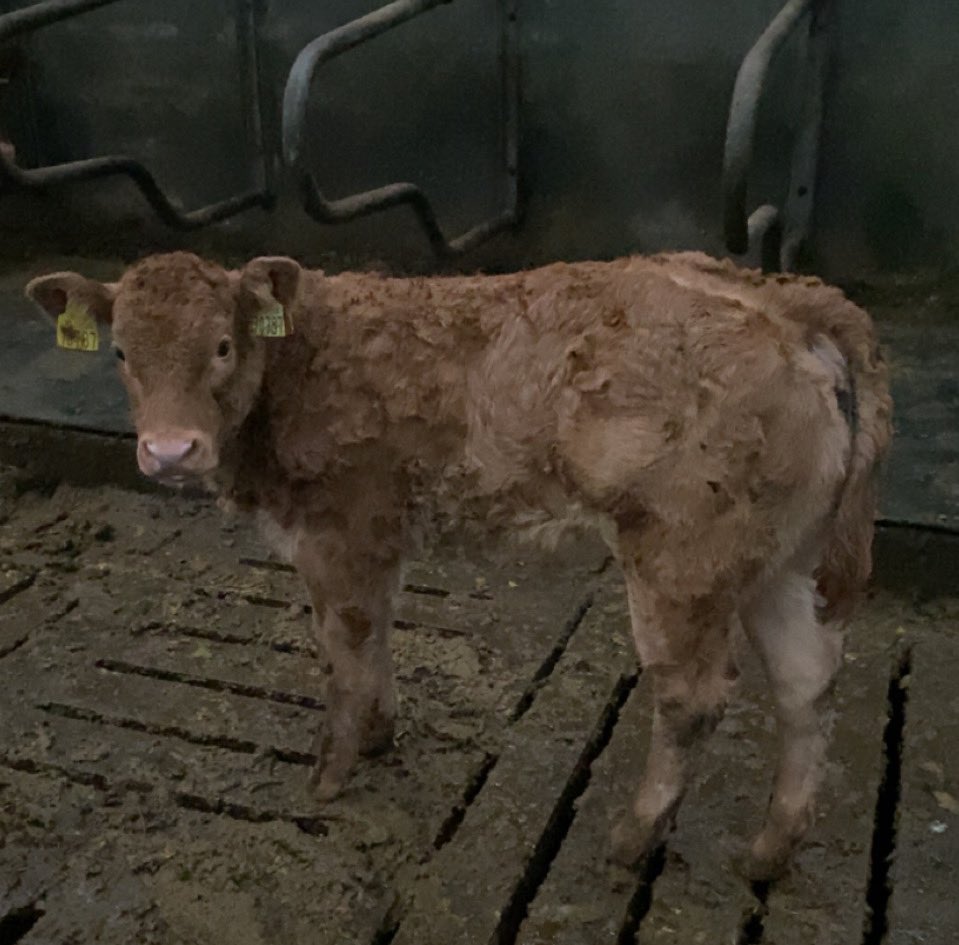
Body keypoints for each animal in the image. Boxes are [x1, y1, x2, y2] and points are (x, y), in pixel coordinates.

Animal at [25, 249, 891, 879]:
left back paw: (632, 835)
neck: (302, 361)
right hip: (783, 555)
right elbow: (374, 636)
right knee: (805, 682)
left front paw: (331, 774)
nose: (170, 451)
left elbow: (343, 648)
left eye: (222, 345)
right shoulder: (376, 538)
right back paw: (769, 849)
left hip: (682, 552)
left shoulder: (341, 528)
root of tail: (781, 299)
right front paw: (378, 734)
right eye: (121, 351)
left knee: (693, 696)